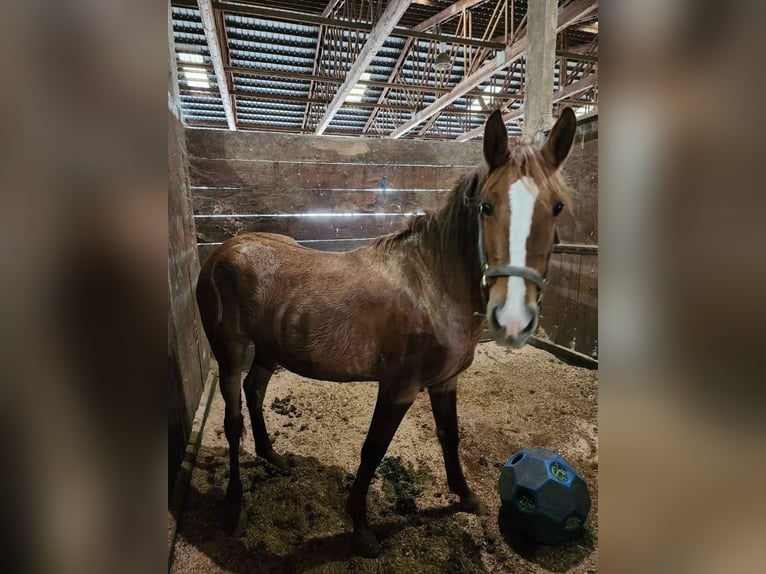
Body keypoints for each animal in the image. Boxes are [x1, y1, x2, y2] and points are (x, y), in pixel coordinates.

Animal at [195, 108, 577, 557]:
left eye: (557, 206)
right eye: (486, 206)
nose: (514, 316)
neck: (432, 284)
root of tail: (223, 252)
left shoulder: (444, 382)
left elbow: (450, 436)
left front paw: (465, 496)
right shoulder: (399, 387)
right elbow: (373, 450)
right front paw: (361, 528)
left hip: (271, 349)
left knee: (255, 392)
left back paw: (274, 456)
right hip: (230, 352)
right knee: (233, 419)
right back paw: (235, 508)